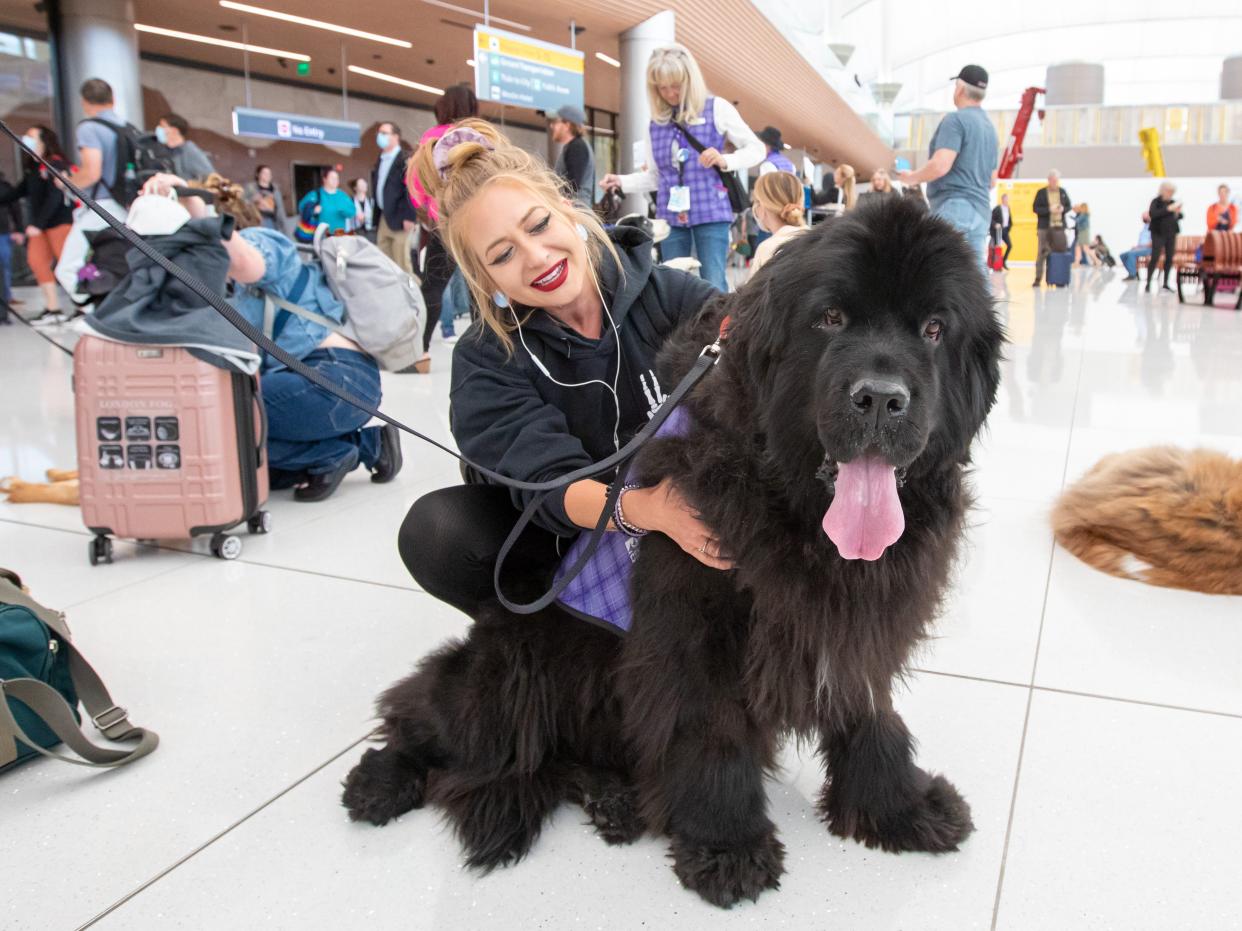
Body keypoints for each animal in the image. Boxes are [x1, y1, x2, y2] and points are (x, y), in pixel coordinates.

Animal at [345, 201, 1003, 908]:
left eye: (934, 329)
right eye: (830, 318)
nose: (880, 397)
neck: (793, 509)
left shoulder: (857, 623)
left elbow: (871, 714)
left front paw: (899, 808)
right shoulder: (693, 628)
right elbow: (711, 731)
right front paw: (726, 847)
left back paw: (614, 799)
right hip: (514, 671)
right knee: (426, 712)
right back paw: (380, 781)